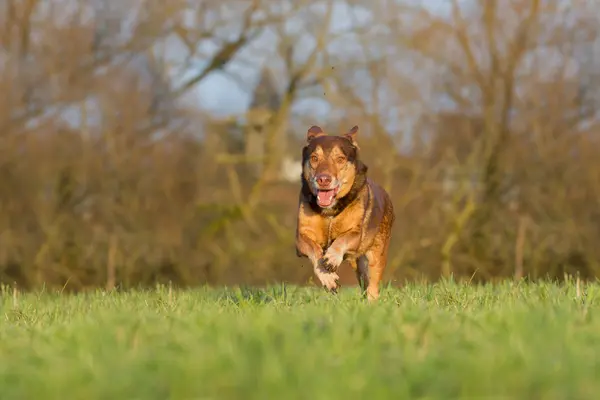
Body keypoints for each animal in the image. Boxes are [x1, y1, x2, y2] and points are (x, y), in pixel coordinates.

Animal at [294, 125, 394, 300]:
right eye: (314, 158)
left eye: (340, 159)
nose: (323, 179)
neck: (330, 212)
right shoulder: (301, 237)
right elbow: (314, 250)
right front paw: (328, 278)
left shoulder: (356, 234)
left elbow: (343, 239)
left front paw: (332, 259)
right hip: (358, 264)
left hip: (376, 255)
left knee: (373, 285)